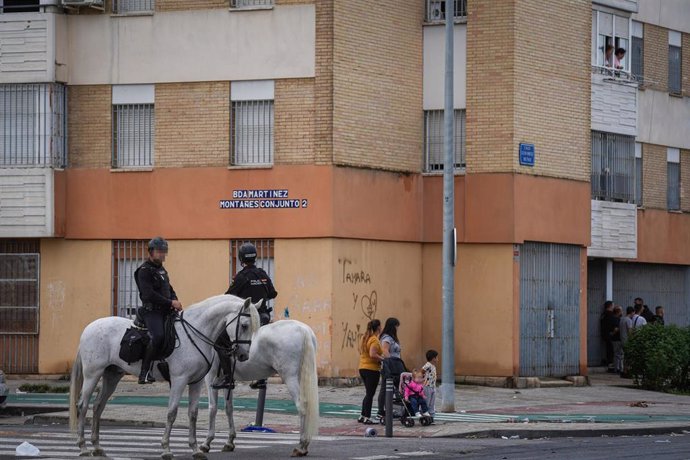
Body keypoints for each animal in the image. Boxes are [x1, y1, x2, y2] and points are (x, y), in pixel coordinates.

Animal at [69, 294, 258, 460]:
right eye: (244, 325)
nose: (243, 356)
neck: (195, 334)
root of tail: (88, 328)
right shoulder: (179, 380)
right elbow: (172, 413)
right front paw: (166, 449)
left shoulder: (196, 382)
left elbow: (193, 414)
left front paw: (195, 449)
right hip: (93, 374)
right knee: (83, 405)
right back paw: (83, 447)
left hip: (112, 376)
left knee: (98, 406)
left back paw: (97, 447)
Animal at [199, 320, 318, 456]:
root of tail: (303, 329)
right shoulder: (226, 383)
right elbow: (229, 408)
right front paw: (229, 442)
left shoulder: (210, 379)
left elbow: (212, 409)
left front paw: (206, 443)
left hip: (290, 377)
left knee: (302, 406)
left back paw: (301, 446)